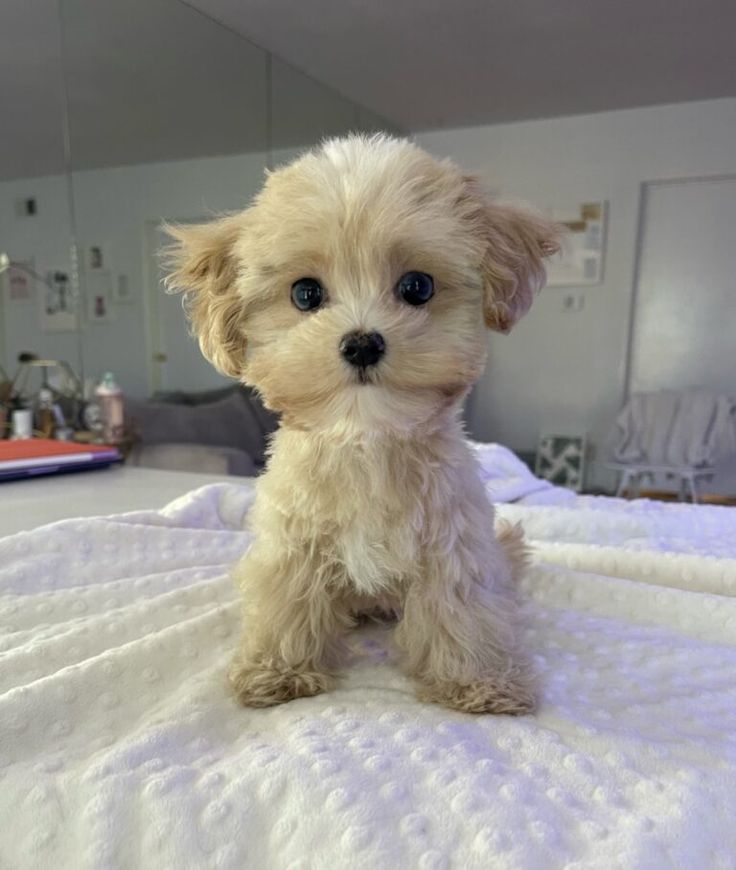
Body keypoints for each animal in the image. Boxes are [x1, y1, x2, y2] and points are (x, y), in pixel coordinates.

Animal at [167, 133, 556, 712]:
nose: (362, 343)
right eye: (306, 293)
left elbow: (460, 605)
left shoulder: (453, 541)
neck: (365, 438)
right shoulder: (292, 543)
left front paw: (479, 680)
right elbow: (287, 601)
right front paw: (277, 669)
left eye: (417, 287)